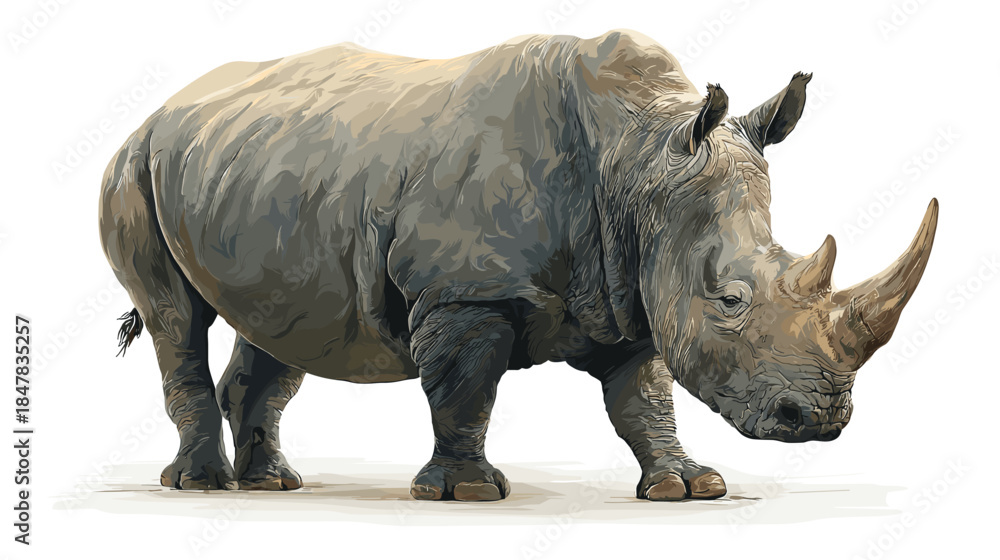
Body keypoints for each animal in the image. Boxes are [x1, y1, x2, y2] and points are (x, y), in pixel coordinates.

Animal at [99, 29, 937, 502]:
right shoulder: (463, 293)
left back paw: (273, 484)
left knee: (281, 325)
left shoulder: (632, 285)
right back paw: (201, 487)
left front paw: (687, 487)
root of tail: (162, 108)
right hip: (133, 167)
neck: (639, 156)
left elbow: (643, 396)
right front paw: (468, 494)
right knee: (176, 318)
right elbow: (466, 390)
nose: (820, 422)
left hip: (267, 175)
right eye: (730, 299)